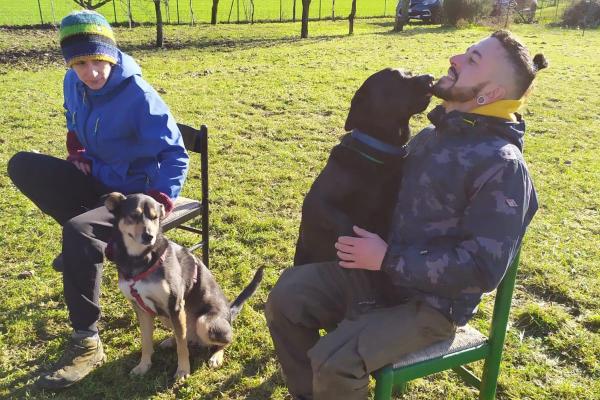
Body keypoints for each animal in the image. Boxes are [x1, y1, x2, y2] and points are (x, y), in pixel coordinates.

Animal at [104, 192, 263, 380]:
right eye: (134, 215)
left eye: (155, 217)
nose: (149, 236)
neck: (139, 260)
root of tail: (229, 314)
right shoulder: (141, 309)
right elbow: (146, 342)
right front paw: (143, 366)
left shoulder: (175, 305)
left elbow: (182, 347)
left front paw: (182, 370)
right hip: (166, 317)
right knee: (185, 336)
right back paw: (170, 341)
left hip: (204, 321)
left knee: (226, 339)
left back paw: (216, 356)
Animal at [294, 68, 433, 265]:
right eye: (397, 77)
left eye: (410, 72)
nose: (430, 77)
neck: (378, 151)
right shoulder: (316, 202)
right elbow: (346, 222)